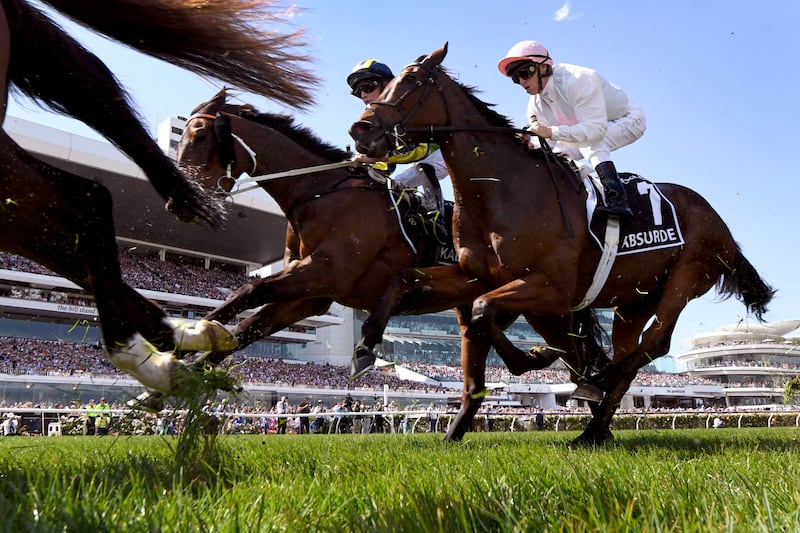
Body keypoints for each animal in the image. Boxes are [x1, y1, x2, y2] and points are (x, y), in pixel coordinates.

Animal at [350, 43, 776, 444]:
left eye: (411, 82)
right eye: (382, 86)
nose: (360, 129)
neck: (504, 189)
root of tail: (717, 220)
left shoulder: (551, 287)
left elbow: (484, 312)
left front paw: (532, 359)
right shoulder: (475, 276)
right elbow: (410, 280)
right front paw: (365, 346)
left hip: (684, 278)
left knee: (654, 344)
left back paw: (600, 387)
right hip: (633, 300)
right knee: (629, 347)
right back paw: (595, 425)